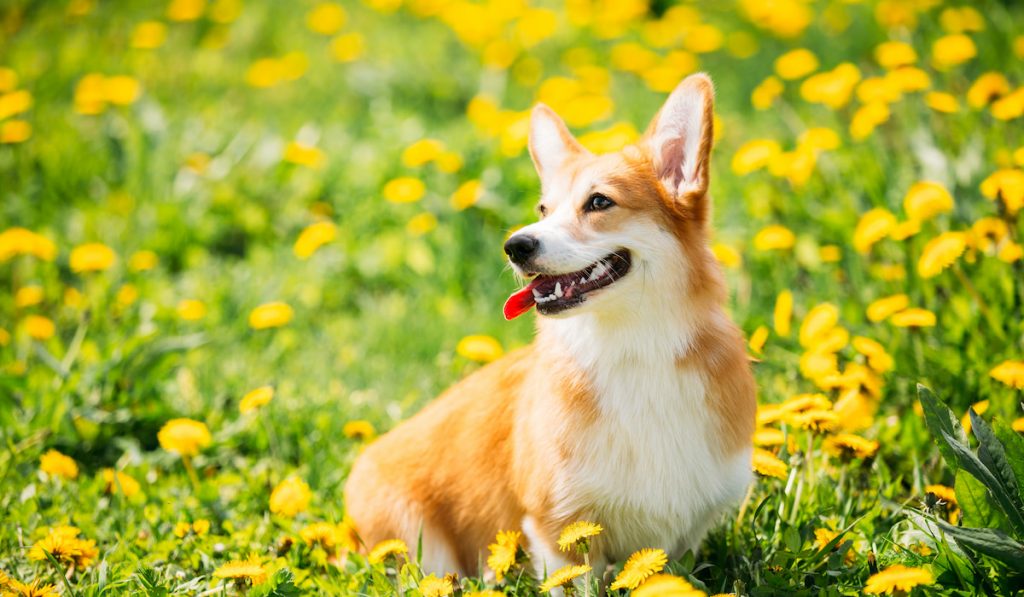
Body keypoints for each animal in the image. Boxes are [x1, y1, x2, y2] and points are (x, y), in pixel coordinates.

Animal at [348, 72, 757, 577]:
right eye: (544, 210)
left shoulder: (686, 532)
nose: (515, 245)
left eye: (599, 202)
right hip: (420, 545)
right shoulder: (557, 524)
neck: (632, 348)